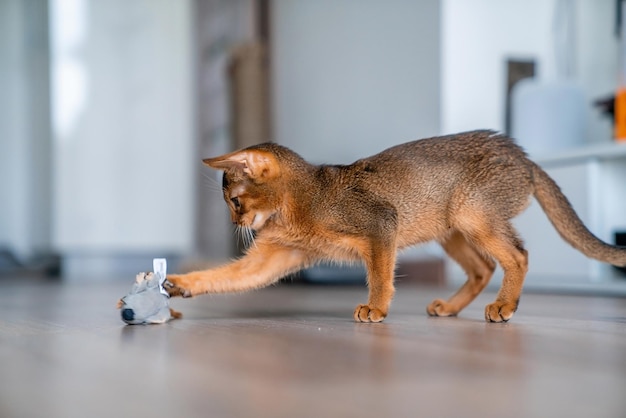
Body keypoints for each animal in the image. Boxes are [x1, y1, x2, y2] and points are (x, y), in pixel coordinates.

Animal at [166, 131, 624, 324]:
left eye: (235, 201)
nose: (234, 221)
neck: (304, 200)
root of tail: (524, 156)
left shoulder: (381, 226)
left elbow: (381, 275)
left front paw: (376, 308)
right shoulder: (272, 258)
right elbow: (223, 276)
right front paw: (179, 283)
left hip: (471, 215)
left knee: (518, 255)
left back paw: (504, 306)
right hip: (451, 229)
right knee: (484, 268)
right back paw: (451, 308)